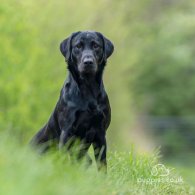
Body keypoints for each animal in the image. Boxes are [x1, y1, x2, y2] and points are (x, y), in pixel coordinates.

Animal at [30, 30, 114, 171]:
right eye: (78, 46)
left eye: (96, 46)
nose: (88, 62)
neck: (87, 89)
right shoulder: (67, 132)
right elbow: (65, 159)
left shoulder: (101, 134)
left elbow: (102, 164)